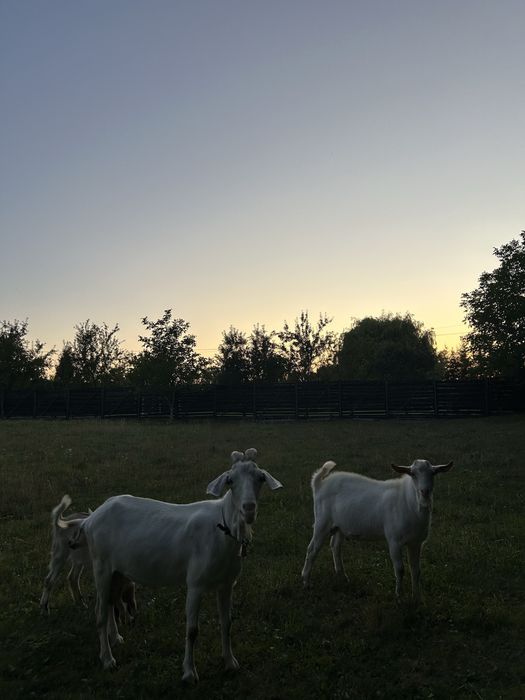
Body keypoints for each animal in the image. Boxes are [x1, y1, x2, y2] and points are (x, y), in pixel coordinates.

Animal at [58, 449, 282, 683]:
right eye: (230, 480)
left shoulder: (227, 584)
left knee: (110, 602)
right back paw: (108, 659)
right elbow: (192, 630)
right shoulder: (195, 583)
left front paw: (230, 663)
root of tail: (90, 519)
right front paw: (189, 673)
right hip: (100, 564)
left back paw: (116, 638)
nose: (249, 508)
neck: (222, 529)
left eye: (260, 478)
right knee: (99, 612)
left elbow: (227, 622)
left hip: (116, 569)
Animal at [301, 459, 453, 601]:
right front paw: (399, 596)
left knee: (335, 547)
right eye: (413, 474)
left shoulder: (416, 543)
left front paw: (417, 597)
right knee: (312, 549)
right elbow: (400, 569)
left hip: (340, 526)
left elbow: (416, 570)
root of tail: (319, 484)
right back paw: (306, 581)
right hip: (322, 522)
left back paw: (343, 577)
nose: (425, 491)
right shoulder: (394, 541)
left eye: (433, 473)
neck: (408, 501)